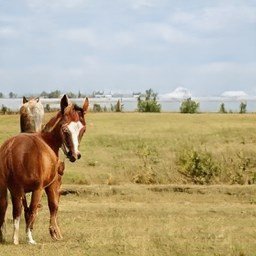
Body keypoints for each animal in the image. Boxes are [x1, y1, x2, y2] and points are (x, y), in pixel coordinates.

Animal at [0, 94, 89, 244]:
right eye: (65, 130)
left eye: (83, 130)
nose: (74, 155)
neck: (47, 140)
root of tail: (10, 149)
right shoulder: (50, 185)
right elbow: (53, 205)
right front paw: (54, 232)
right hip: (36, 189)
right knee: (30, 210)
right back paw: (29, 238)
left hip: (7, 188)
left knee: (10, 208)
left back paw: (10, 237)